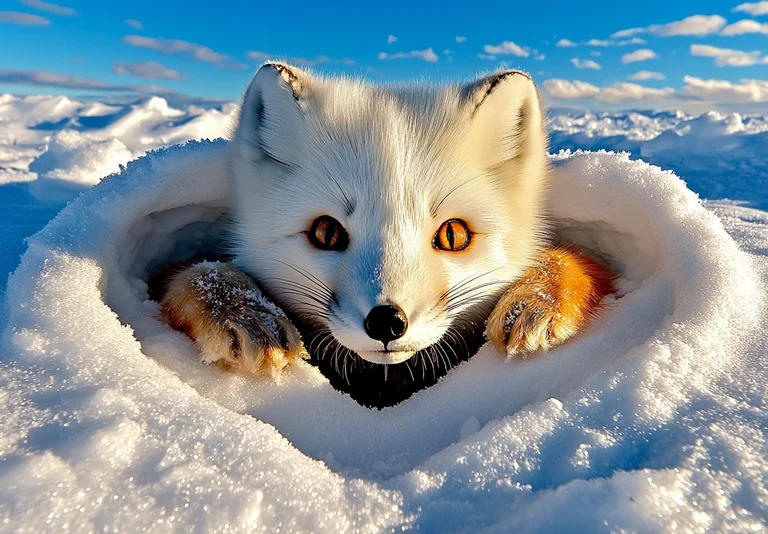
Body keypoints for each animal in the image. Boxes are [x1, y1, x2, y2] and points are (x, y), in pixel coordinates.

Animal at [160, 62, 616, 407]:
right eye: (326, 232)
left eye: (454, 235)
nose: (387, 322)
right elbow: (193, 272)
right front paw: (242, 312)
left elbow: (579, 262)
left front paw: (539, 299)